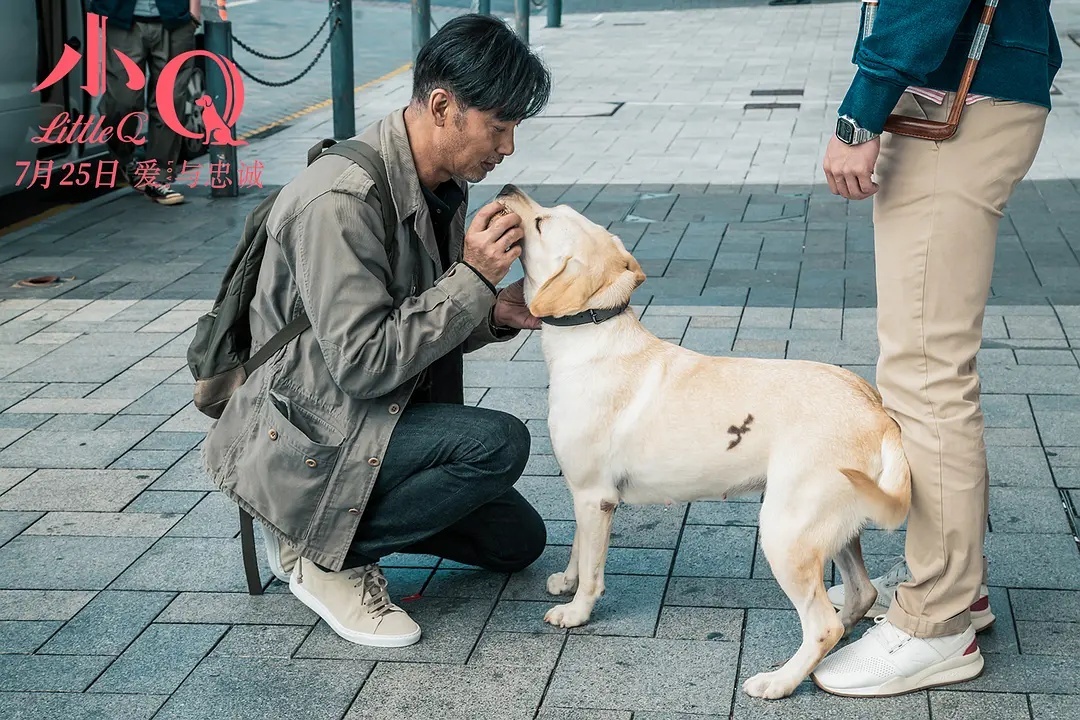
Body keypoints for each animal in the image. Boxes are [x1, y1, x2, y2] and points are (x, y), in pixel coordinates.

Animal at [494, 184, 911, 699]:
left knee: (822, 625)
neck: (592, 334)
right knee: (859, 595)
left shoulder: (595, 496)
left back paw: (779, 681)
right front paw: (566, 582)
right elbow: (578, 548)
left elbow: (593, 569)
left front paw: (577, 612)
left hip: (786, 531)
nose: (507, 188)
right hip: (835, 528)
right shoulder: (584, 496)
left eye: (541, 223)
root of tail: (878, 414)